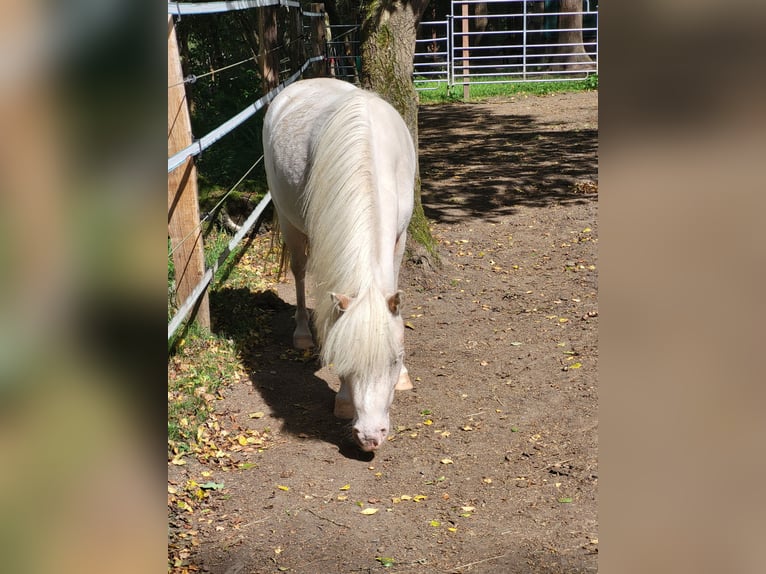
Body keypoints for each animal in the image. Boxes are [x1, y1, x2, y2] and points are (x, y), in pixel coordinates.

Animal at [262, 78, 416, 452]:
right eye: (344, 359)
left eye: (395, 359)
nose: (370, 437)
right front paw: (344, 400)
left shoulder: (401, 235)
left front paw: (404, 377)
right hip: (289, 221)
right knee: (300, 273)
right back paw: (303, 334)